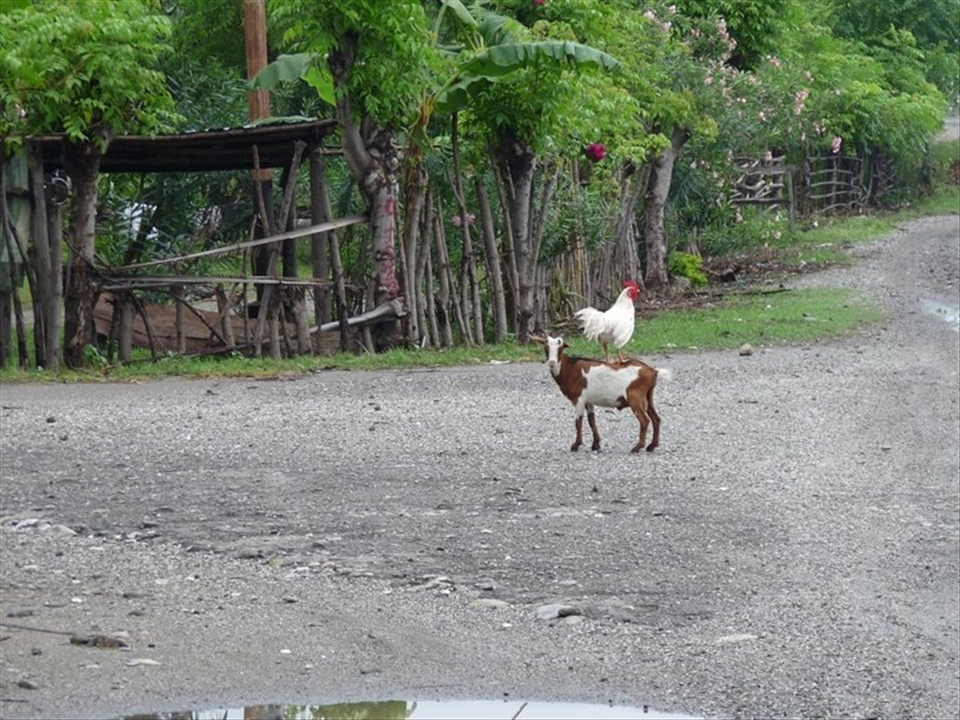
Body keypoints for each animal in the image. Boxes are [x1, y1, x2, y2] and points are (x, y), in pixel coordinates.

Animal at [532, 334, 665, 453]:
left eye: (560, 349)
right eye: (546, 348)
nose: (552, 362)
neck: (571, 369)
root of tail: (652, 371)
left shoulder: (579, 399)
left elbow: (578, 422)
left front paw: (576, 445)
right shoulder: (588, 401)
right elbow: (592, 421)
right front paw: (596, 445)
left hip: (635, 398)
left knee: (644, 420)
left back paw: (637, 447)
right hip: (647, 397)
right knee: (656, 419)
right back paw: (652, 446)